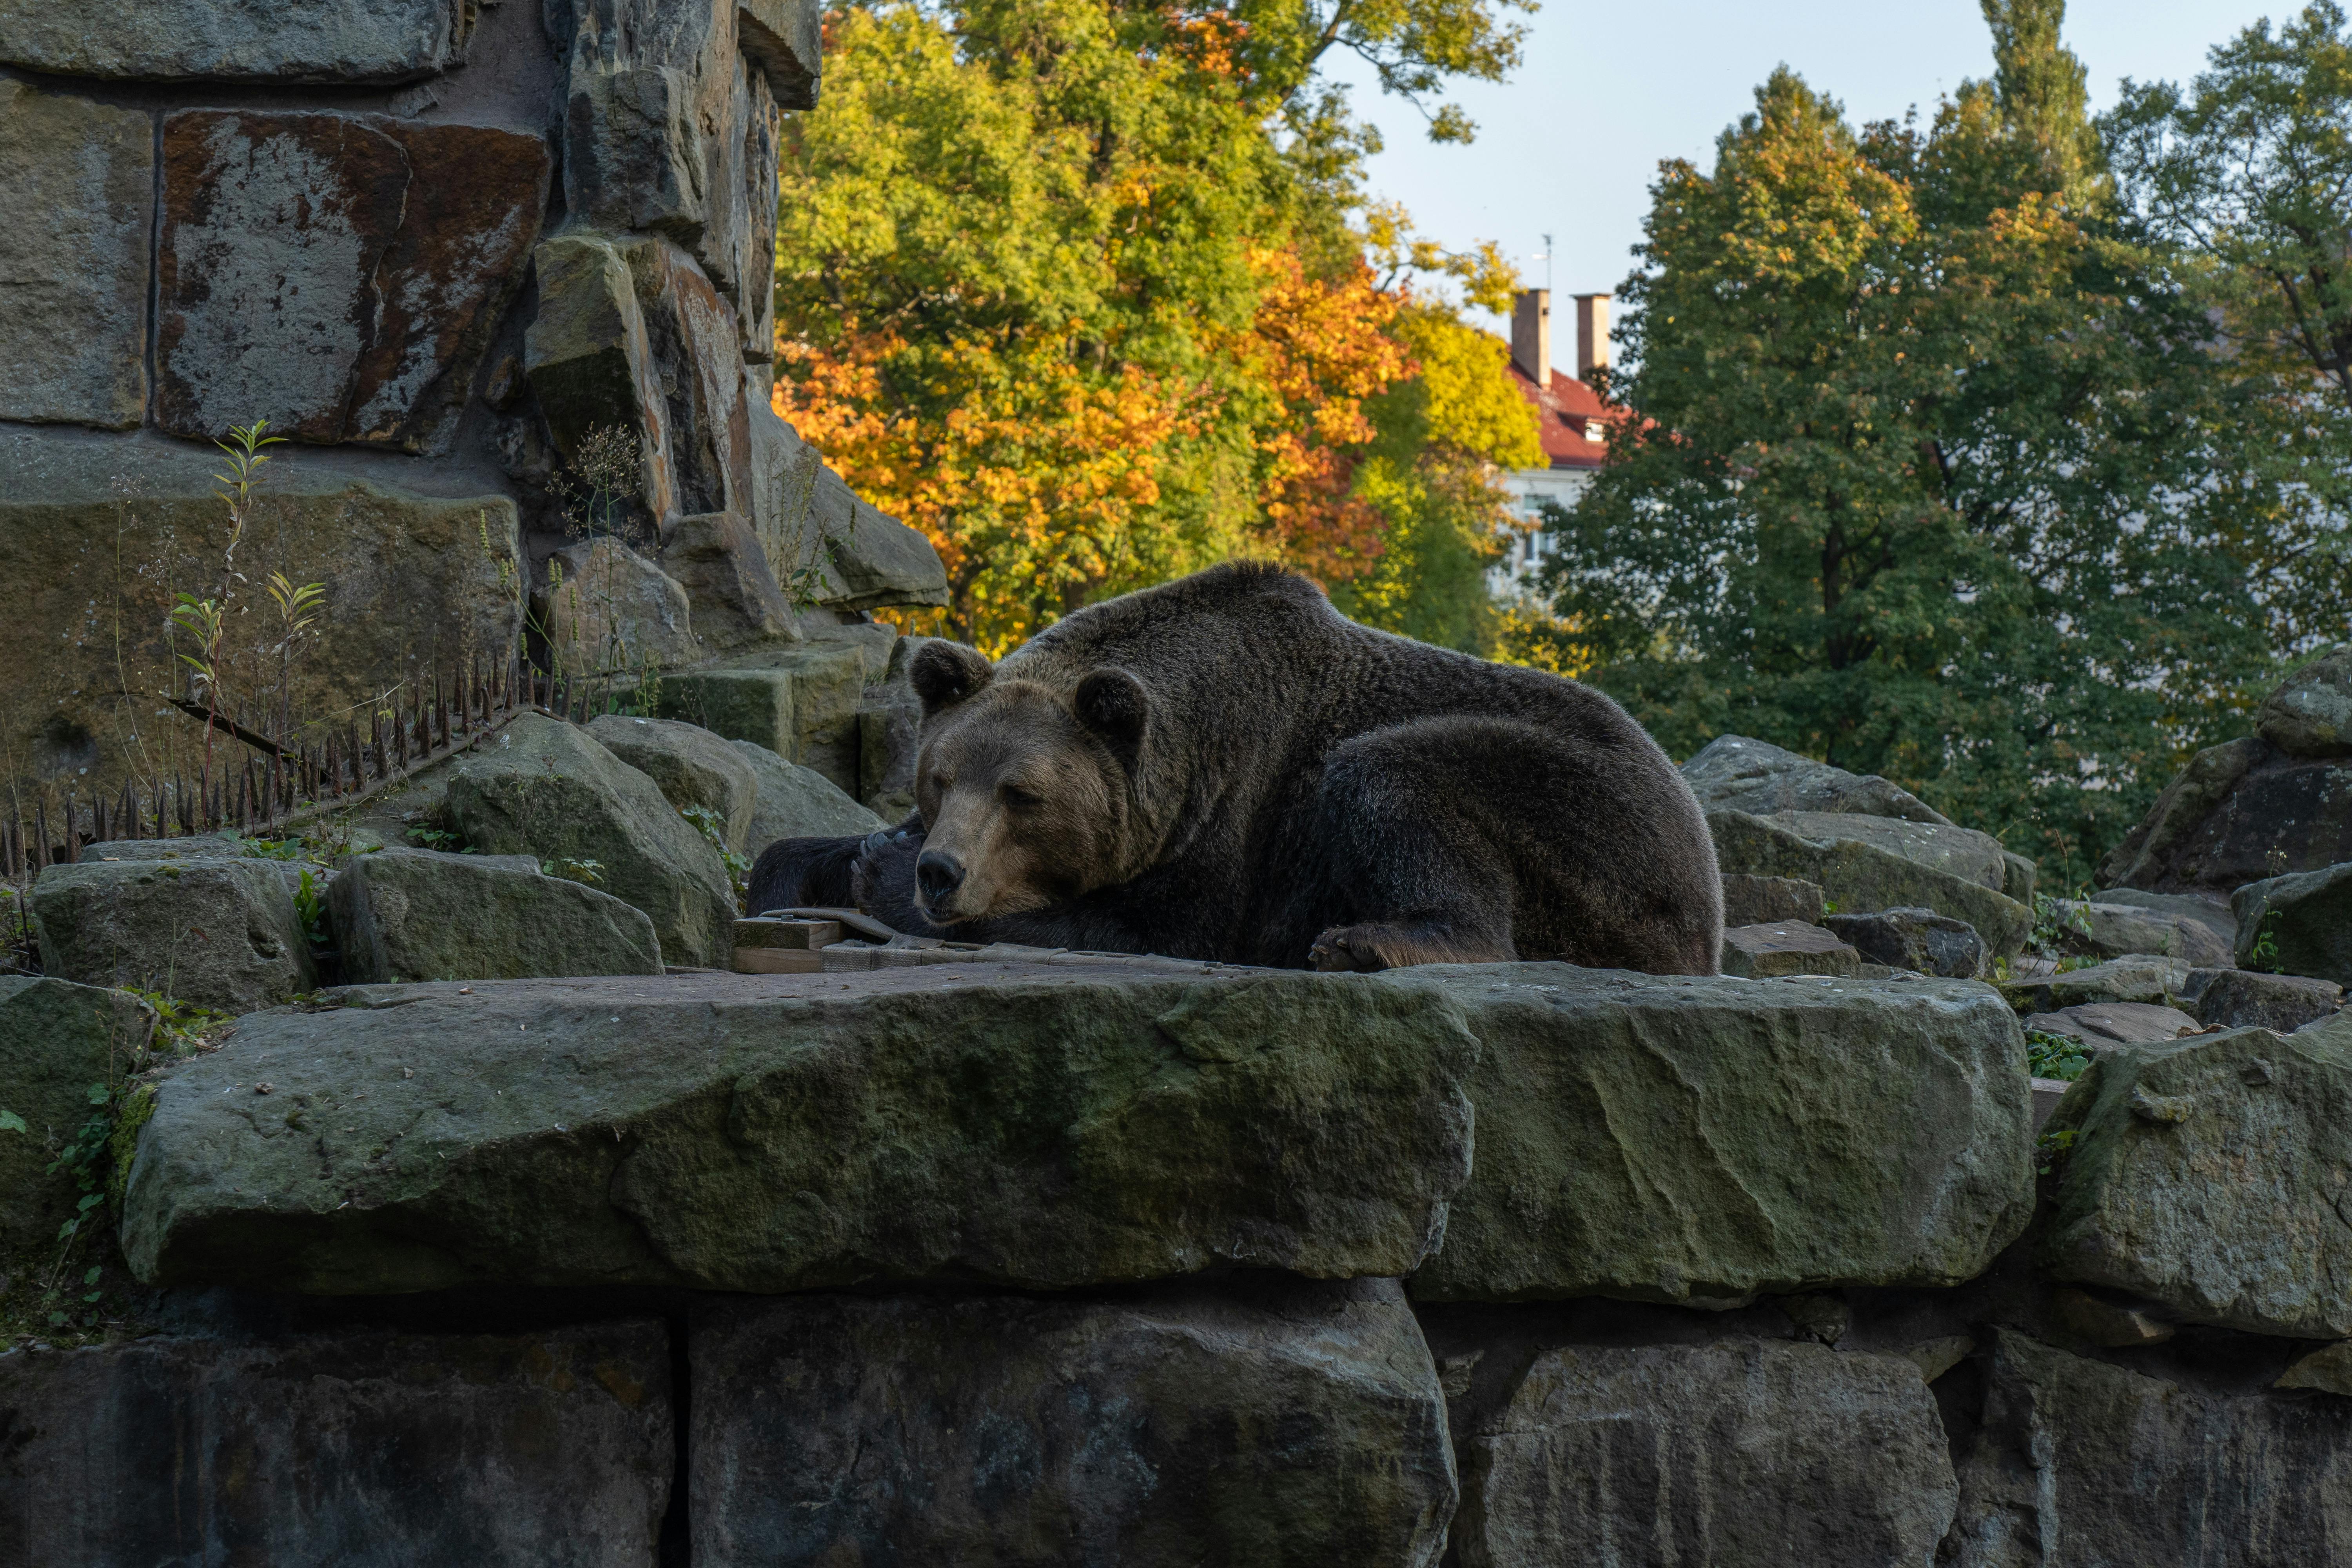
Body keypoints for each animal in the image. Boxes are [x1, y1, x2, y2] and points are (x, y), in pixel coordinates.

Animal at [753, 557, 1731, 973]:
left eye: (1023, 794)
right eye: (942, 774)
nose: (942, 870)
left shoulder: (1234, 827)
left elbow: (1145, 925)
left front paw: (883, 881)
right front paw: (838, 856)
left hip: (1590, 825)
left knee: (1397, 772)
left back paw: (1368, 939)